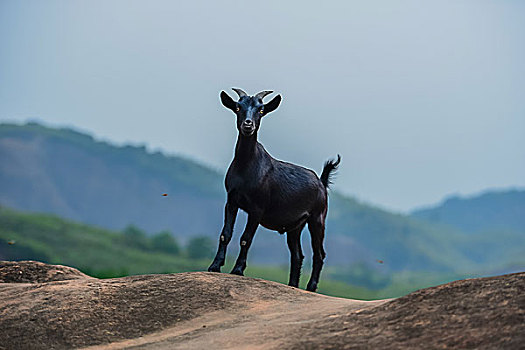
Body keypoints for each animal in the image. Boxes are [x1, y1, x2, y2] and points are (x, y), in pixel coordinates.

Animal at [207, 88, 338, 292]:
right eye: (238, 107)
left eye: (261, 110)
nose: (248, 124)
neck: (246, 167)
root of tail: (321, 182)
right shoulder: (231, 201)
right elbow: (225, 234)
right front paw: (214, 266)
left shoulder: (257, 208)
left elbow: (246, 238)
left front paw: (237, 270)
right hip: (296, 226)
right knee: (298, 255)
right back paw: (292, 285)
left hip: (317, 218)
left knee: (319, 254)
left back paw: (310, 287)